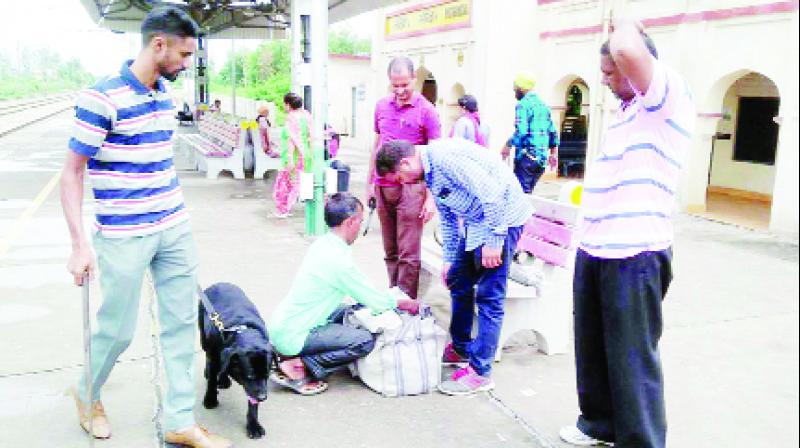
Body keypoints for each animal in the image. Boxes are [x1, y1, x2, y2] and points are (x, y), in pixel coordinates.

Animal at [198, 284, 274, 438]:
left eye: (267, 376)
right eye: (250, 376)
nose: (263, 397)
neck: (241, 330)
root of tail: (219, 283)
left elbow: (252, 404)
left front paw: (253, 425)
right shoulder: (214, 356)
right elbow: (211, 381)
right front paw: (210, 399)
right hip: (202, 334)